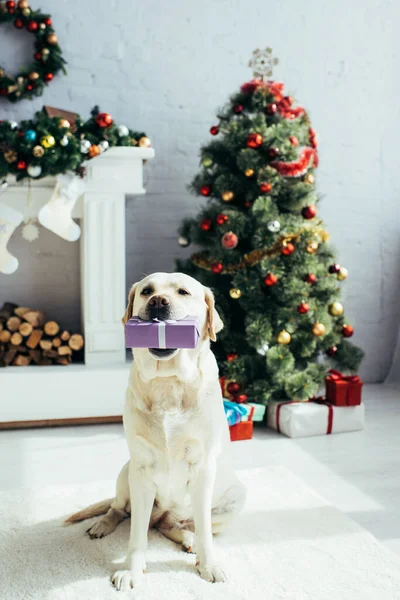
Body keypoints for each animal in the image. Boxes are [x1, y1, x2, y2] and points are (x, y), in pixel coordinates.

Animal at [67, 274, 245, 592]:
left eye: (183, 292)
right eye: (147, 290)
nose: (158, 302)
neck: (168, 382)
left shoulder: (203, 469)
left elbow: (205, 531)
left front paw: (209, 564)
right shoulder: (141, 471)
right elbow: (136, 535)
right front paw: (131, 570)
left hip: (237, 497)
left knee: (176, 526)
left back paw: (189, 541)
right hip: (126, 472)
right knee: (119, 509)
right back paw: (103, 525)